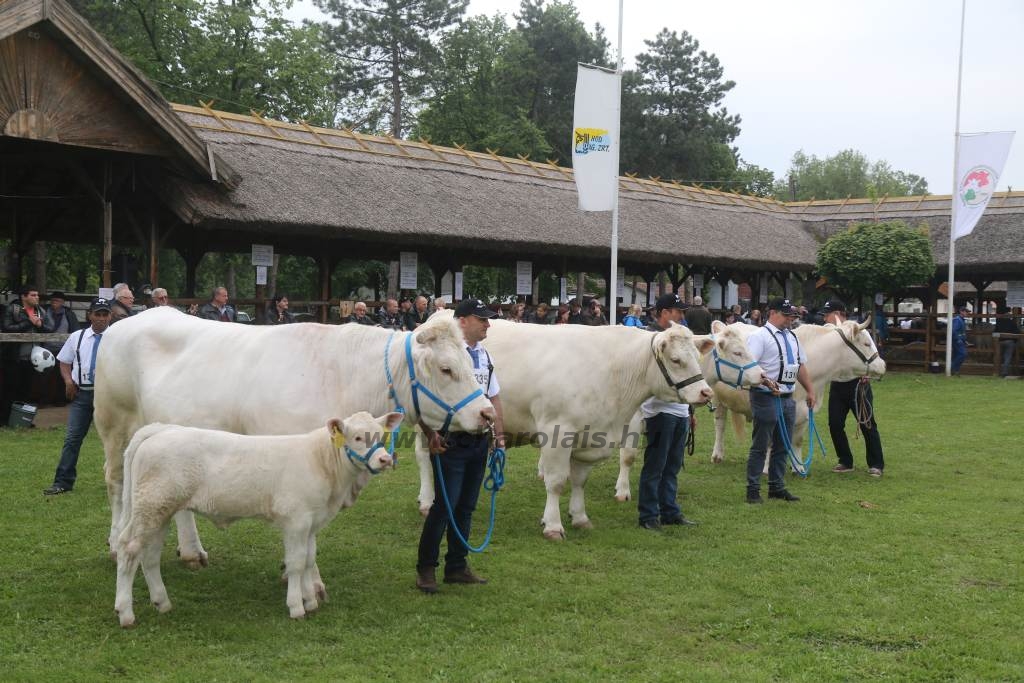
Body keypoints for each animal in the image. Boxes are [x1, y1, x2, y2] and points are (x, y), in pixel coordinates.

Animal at [95, 309, 491, 565]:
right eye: (446, 369)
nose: (487, 413)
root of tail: (132, 319)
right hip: (113, 422)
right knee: (114, 482)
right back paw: (114, 542)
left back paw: (191, 551)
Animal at [112, 411, 399, 630]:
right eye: (358, 437)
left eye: (382, 434)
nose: (385, 459)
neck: (321, 462)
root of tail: (160, 430)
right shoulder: (295, 520)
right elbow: (296, 563)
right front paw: (296, 606)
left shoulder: (311, 523)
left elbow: (308, 560)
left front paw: (310, 601)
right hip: (150, 507)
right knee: (128, 549)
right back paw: (126, 613)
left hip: (157, 511)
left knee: (150, 556)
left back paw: (162, 602)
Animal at [415, 321, 712, 540]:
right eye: (675, 360)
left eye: (698, 358)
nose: (705, 392)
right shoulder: (557, 432)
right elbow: (557, 481)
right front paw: (553, 525)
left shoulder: (590, 437)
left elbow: (579, 481)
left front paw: (579, 517)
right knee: (424, 458)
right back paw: (427, 500)